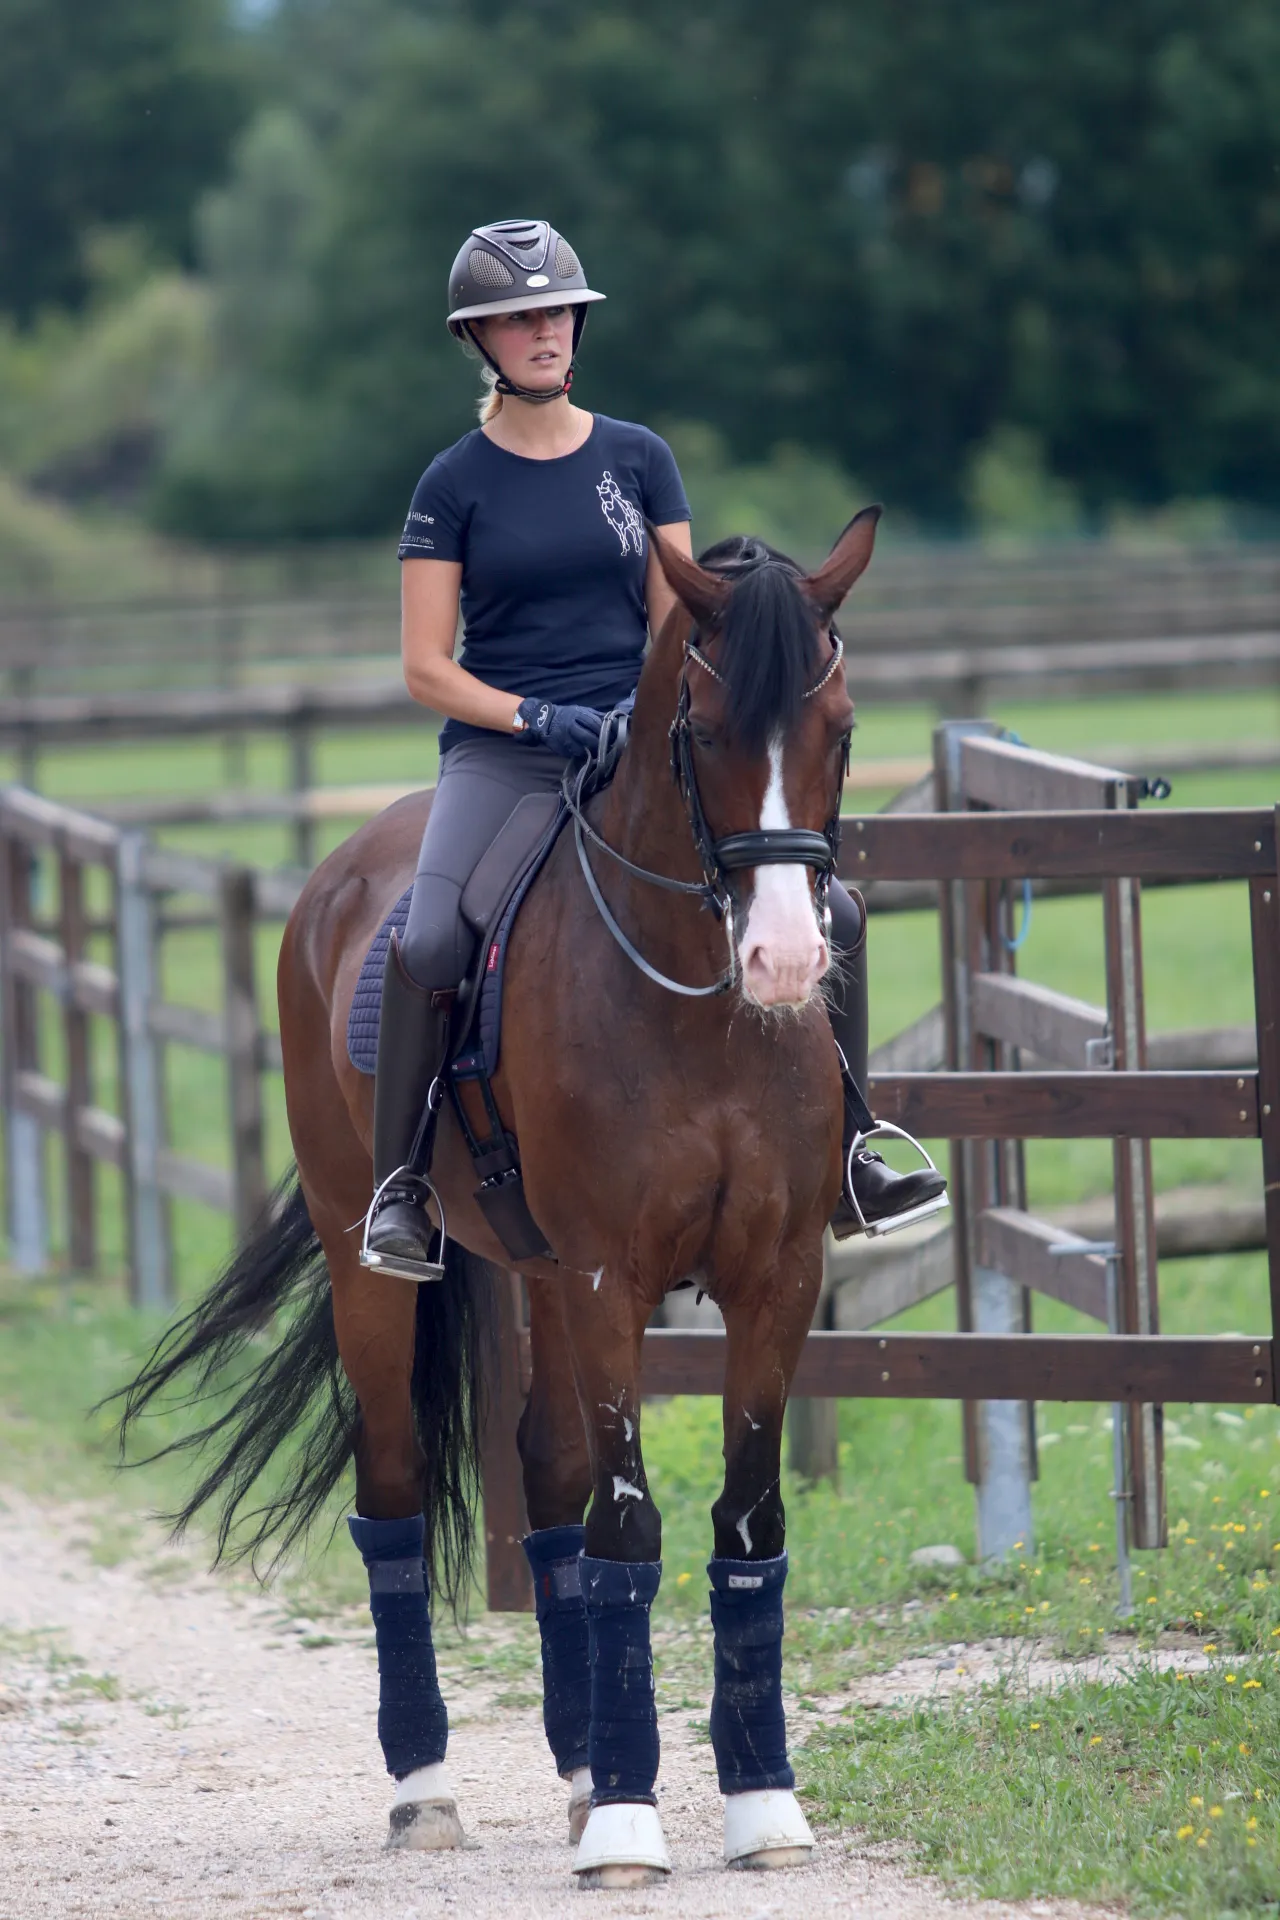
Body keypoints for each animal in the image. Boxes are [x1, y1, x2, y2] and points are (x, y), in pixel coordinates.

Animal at [116, 507, 880, 1888]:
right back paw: (425, 1790)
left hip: (537, 1274)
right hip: (376, 1265)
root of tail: (346, 868)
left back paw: (580, 1767)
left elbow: (740, 1523)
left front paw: (756, 1807)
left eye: (837, 729)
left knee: (547, 1483)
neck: (693, 1007)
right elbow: (630, 1527)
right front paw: (632, 1828)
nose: (785, 962)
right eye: (702, 731)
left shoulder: (776, 1273)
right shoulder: (610, 1274)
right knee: (397, 1492)